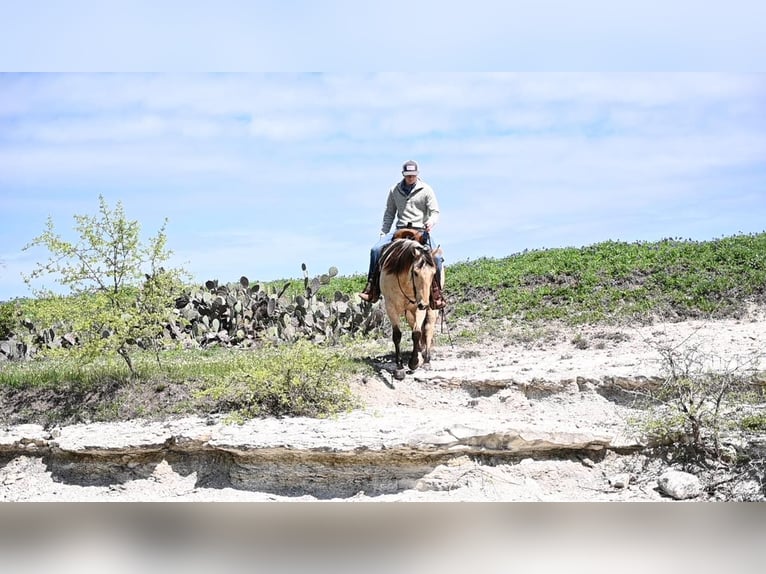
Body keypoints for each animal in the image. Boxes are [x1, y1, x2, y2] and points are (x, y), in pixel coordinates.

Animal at [380, 230, 444, 382]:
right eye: (415, 272)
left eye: (433, 274)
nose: (424, 303)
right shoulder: (390, 307)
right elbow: (397, 335)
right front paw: (399, 368)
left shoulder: (419, 307)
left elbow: (417, 333)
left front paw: (413, 362)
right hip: (409, 312)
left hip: (431, 310)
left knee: (427, 329)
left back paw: (426, 360)